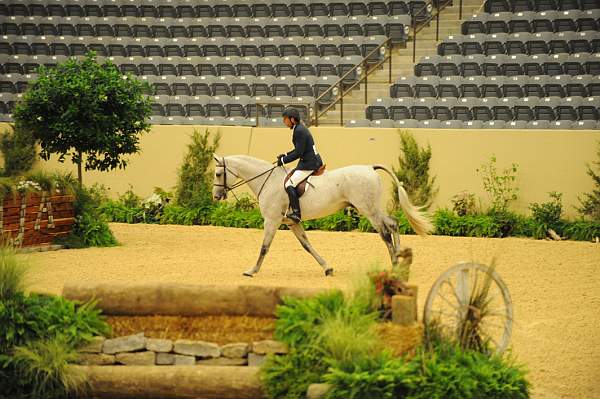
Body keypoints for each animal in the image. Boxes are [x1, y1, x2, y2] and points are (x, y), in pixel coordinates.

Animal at [212, 155, 432, 276]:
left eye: (218, 174)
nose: (216, 196)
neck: (268, 181)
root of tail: (370, 167)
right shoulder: (292, 223)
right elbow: (307, 245)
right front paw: (327, 268)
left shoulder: (272, 221)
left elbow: (264, 247)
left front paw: (252, 271)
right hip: (372, 208)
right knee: (393, 223)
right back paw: (400, 259)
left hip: (368, 210)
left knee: (385, 233)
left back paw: (394, 264)